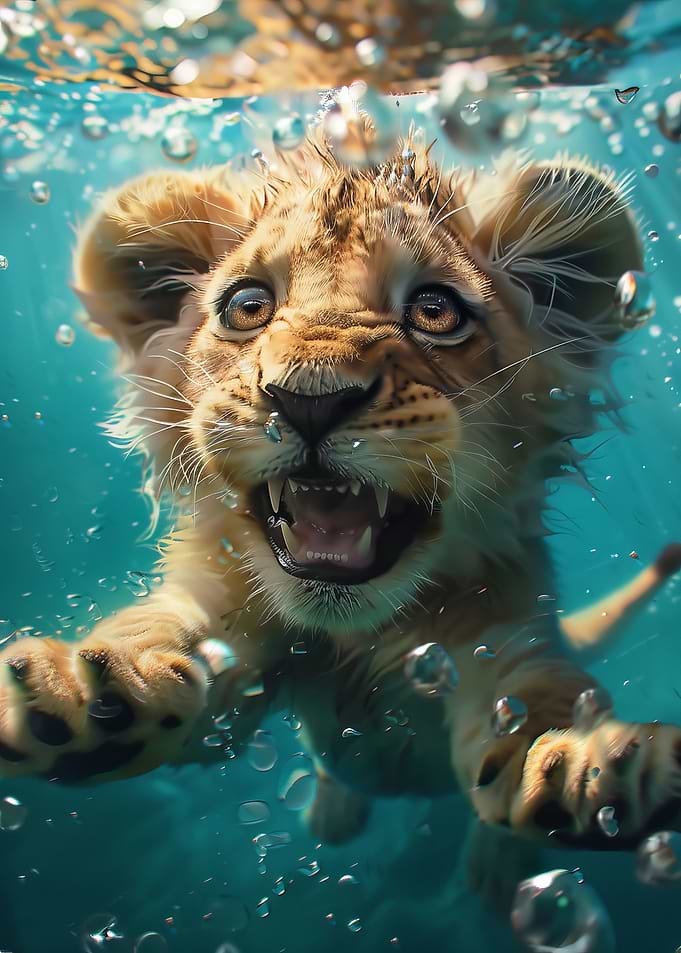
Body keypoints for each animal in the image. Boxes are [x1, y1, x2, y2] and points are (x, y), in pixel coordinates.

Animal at [2, 118, 681, 899]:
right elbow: (161, 634)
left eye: (435, 310)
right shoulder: (227, 624)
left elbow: (539, 708)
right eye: (247, 306)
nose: (309, 399)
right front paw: (85, 692)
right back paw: (334, 813)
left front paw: (591, 767)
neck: (356, 638)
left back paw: (496, 873)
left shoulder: (508, 637)